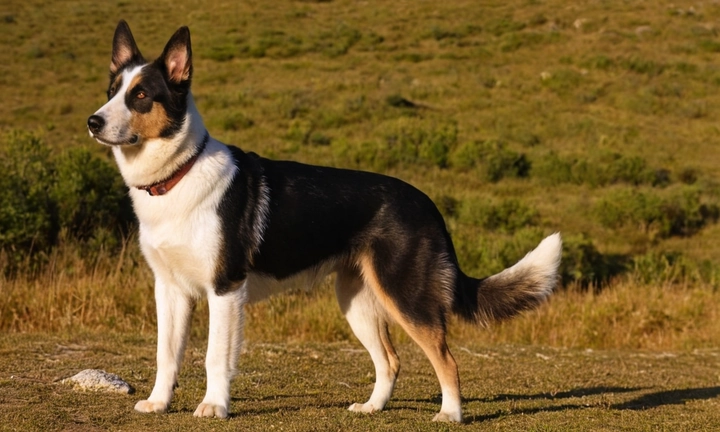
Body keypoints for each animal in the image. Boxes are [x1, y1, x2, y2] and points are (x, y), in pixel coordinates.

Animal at [87, 21, 564, 422]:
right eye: (112, 90)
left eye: (141, 95)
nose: (93, 121)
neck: (178, 175)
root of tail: (427, 204)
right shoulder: (170, 291)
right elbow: (166, 354)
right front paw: (159, 403)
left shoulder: (225, 289)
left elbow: (214, 357)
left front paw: (214, 406)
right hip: (356, 302)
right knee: (390, 360)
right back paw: (372, 408)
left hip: (406, 297)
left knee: (446, 358)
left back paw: (450, 414)